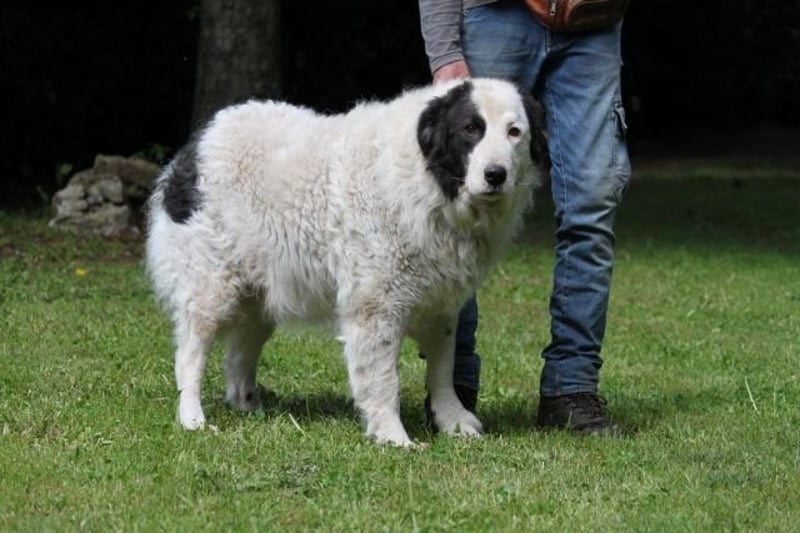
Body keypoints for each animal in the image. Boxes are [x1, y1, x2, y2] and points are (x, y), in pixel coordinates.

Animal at [145, 78, 549, 447]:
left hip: (261, 292)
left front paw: (452, 420)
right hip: (212, 286)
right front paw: (393, 436)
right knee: (190, 355)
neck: (428, 181)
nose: (496, 174)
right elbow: (384, 379)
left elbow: (442, 369)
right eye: (470, 130)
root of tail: (198, 141)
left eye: (514, 132)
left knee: (239, 355)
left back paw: (250, 407)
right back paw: (193, 418)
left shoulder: (440, 305)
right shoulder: (376, 305)